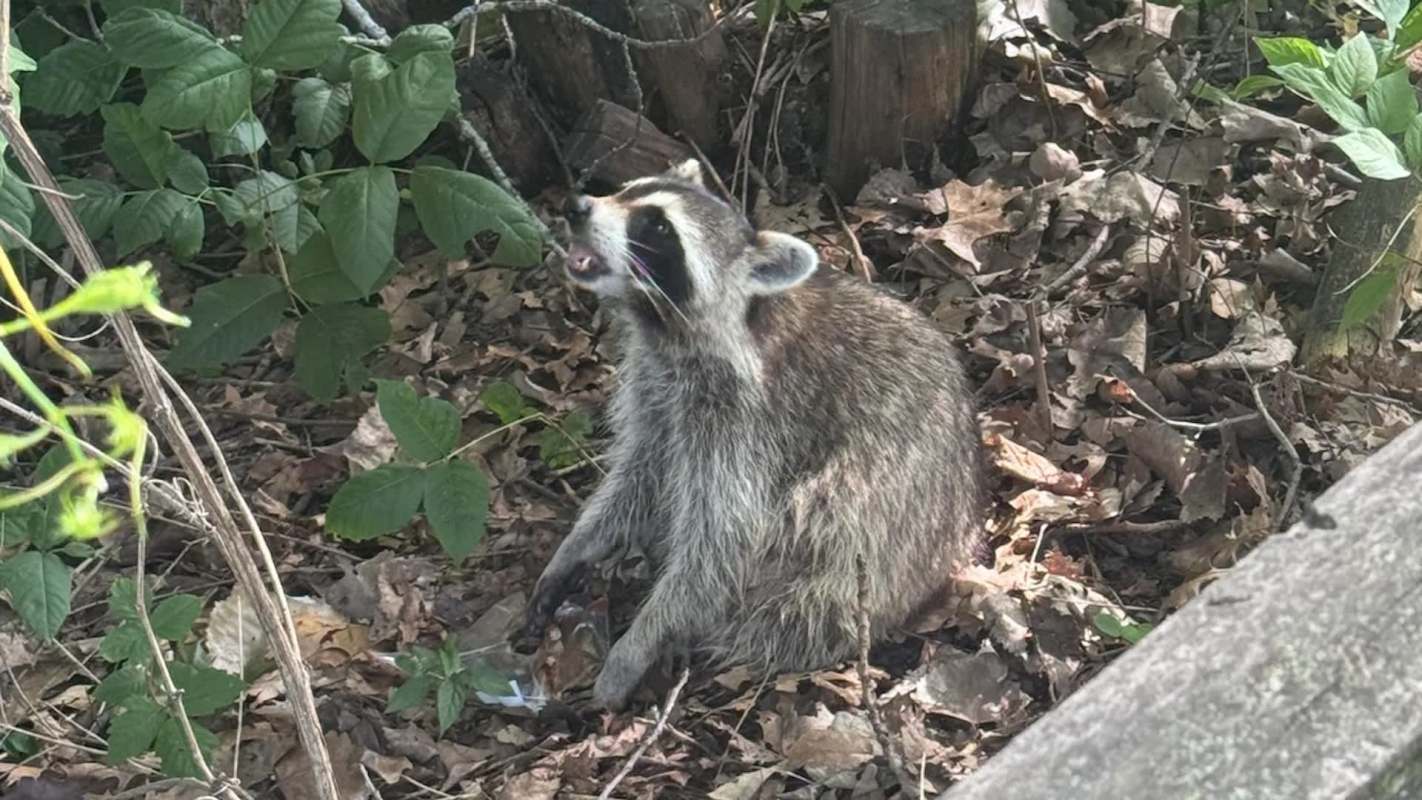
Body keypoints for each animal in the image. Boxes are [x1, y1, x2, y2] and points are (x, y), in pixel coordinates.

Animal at [520, 160, 984, 710]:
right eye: (625, 191)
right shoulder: (656, 389)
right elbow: (639, 475)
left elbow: (724, 539)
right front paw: (578, 545)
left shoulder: (751, 420)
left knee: (821, 530)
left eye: (656, 226)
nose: (576, 206)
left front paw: (644, 637)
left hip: (883, 527)